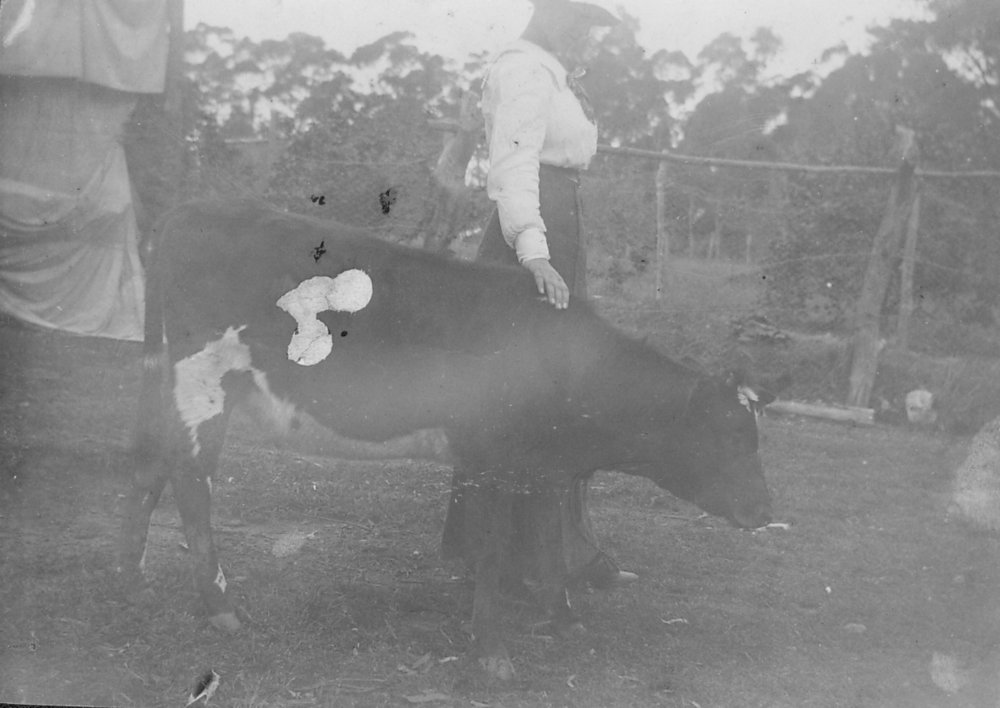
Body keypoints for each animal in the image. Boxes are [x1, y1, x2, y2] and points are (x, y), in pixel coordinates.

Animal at [116, 200, 774, 680]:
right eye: (730, 434)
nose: (765, 510)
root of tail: (191, 212)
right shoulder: (494, 459)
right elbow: (494, 550)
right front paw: (493, 654)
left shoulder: (542, 465)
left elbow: (547, 543)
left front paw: (562, 619)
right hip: (205, 381)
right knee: (191, 482)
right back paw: (222, 609)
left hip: (171, 384)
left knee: (149, 469)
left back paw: (135, 582)